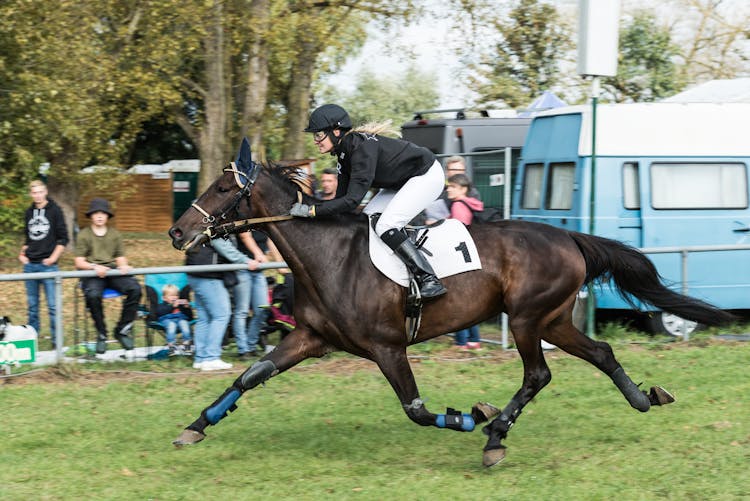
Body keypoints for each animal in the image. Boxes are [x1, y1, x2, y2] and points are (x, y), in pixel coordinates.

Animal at [169, 140, 736, 464]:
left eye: (223, 188)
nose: (178, 232)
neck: (327, 255)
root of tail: (569, 237)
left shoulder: (388, 347)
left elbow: (417, 410)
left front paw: (469, 417)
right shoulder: (311, 338)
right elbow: (250, 376)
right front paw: (194, 428)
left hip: (527, 318)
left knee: (538, 375)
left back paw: (495, 435)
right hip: (552, 319)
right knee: (601, 353)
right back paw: (643, 398)